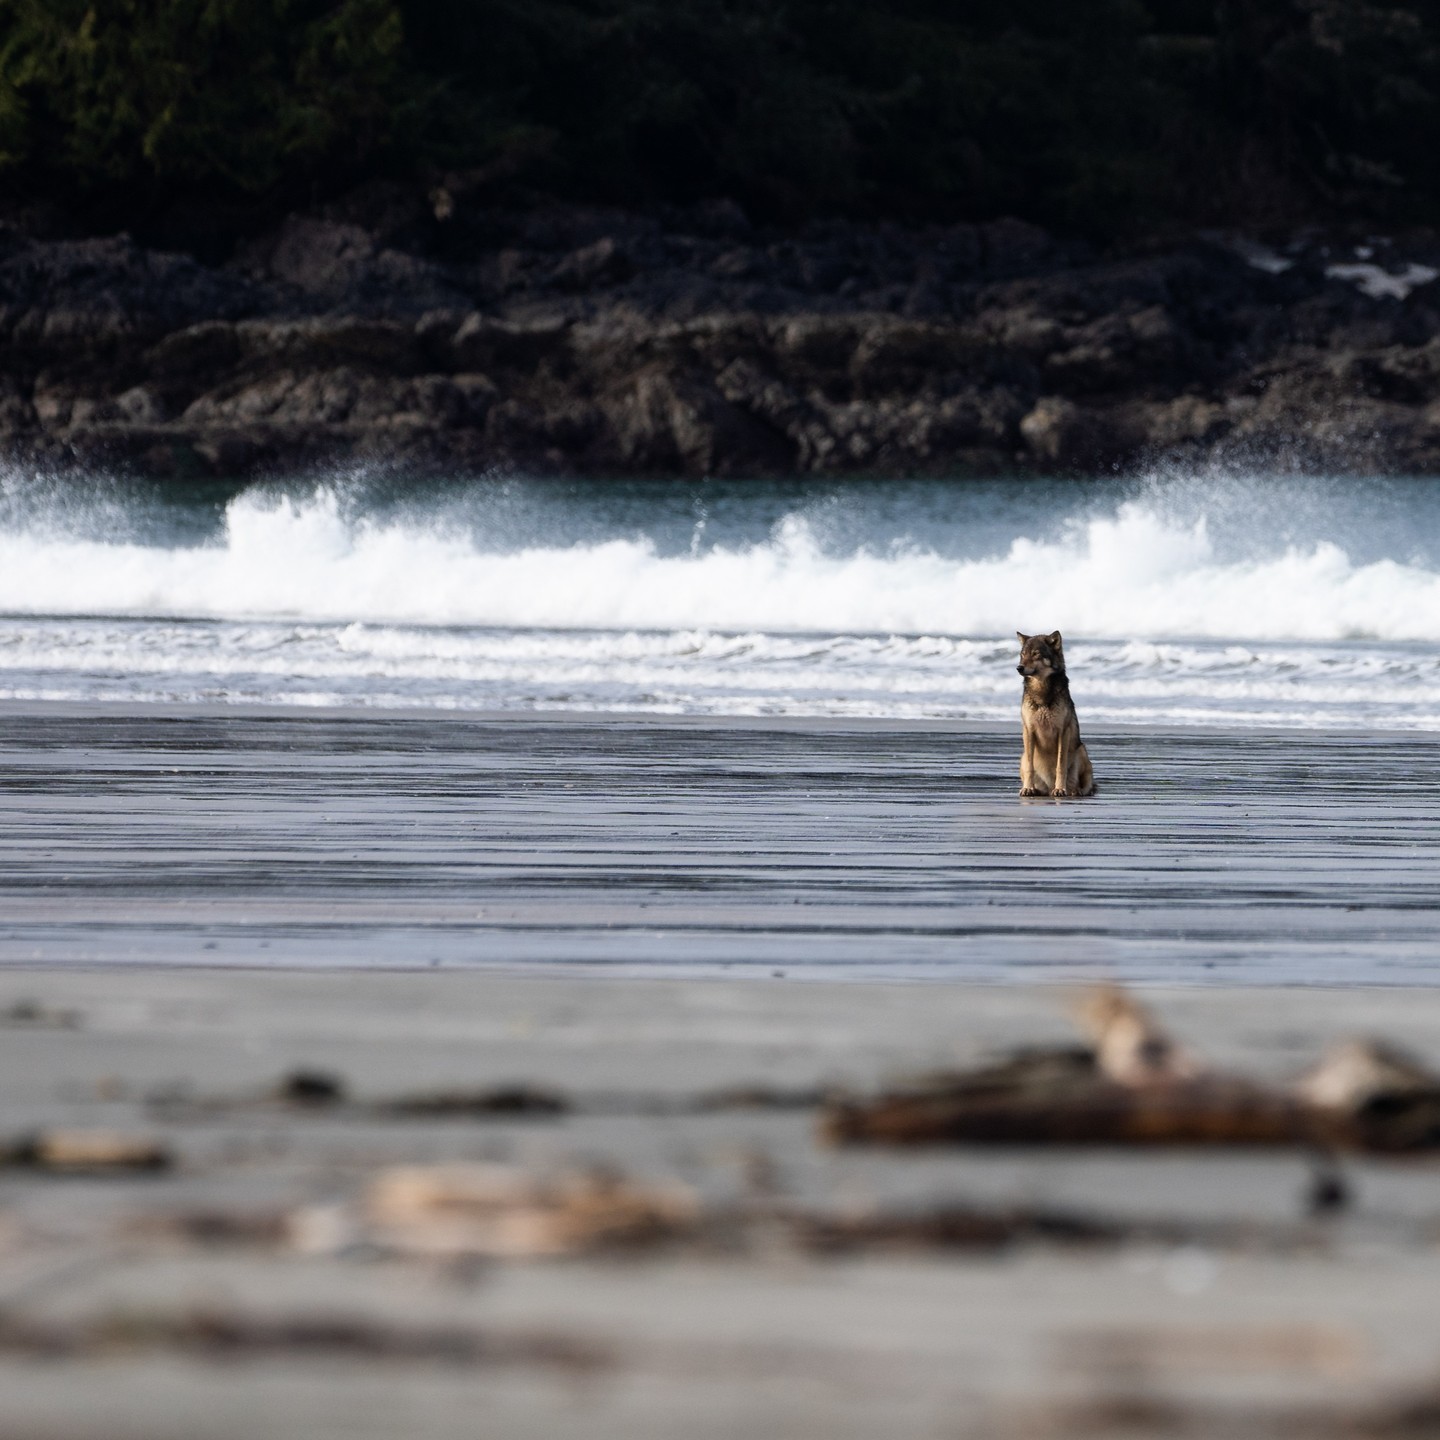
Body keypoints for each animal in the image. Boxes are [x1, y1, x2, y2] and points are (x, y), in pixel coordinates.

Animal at [1016, 630, 1095, 798]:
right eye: (1022, 655)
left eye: (1036, 654)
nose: (1019, 668)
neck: (1041, 690)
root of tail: (1048, 787)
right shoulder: (1029, 731)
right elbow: (1030, 768)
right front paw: (1028, 788)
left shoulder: (1063, 731)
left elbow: (1060, 765)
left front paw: (1060, 789)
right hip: (1023, 755)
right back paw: (1036, 789)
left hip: (1081, 750)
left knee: (1087, 786)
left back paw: (1075, 791)